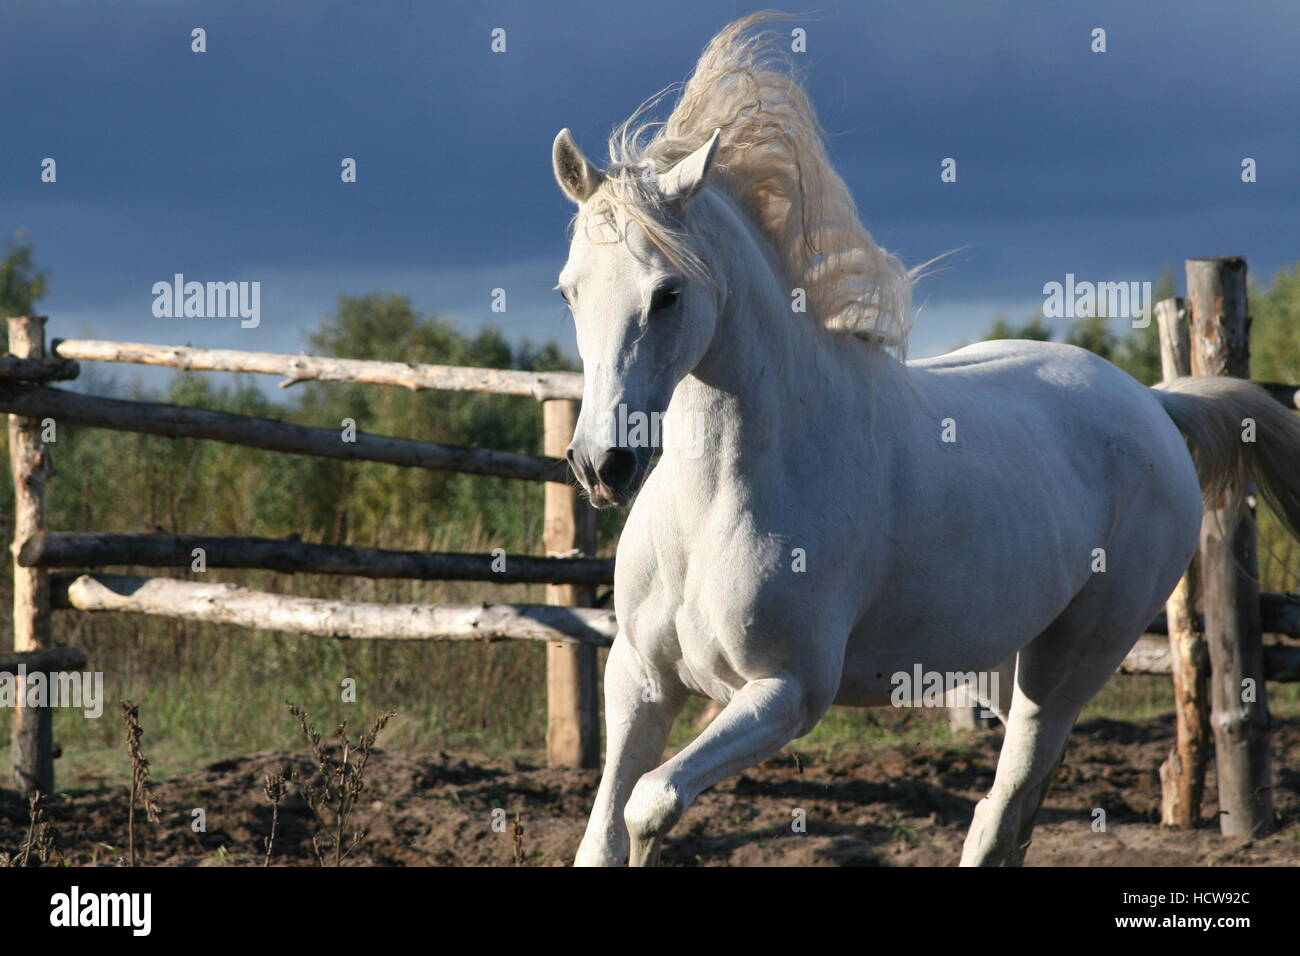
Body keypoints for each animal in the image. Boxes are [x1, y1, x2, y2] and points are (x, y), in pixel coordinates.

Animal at [550, 13, 1300, 866]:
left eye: (668, 293)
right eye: (570, 290)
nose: (601, 464)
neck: (714, 509)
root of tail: (1154, 404)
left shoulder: (787, 693)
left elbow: (650, 802)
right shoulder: (640, 679)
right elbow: (605, 830)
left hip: (1068, 667)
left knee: (1004, 804)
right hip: (1005, 662)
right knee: (1013, 809)